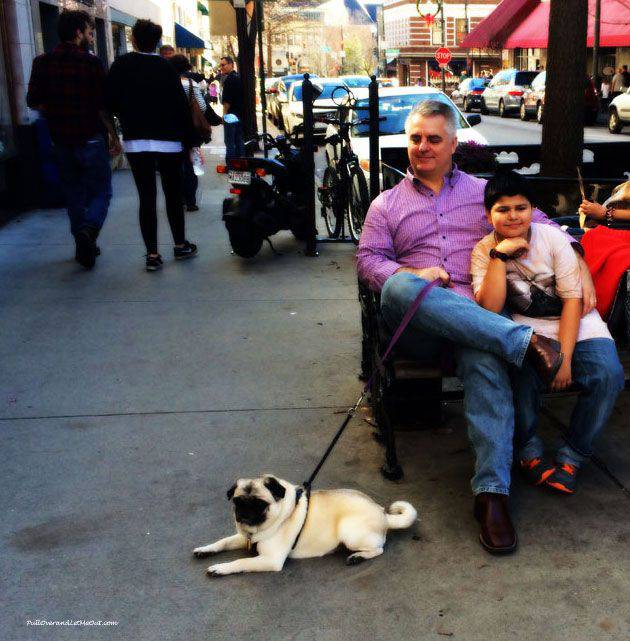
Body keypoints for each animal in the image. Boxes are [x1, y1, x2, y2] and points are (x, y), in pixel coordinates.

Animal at [193, 476, 420, 576]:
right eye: (237, 502)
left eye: (260, 504)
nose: (244, 512)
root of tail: (383, 514)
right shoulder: (244, 537)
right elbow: (222, 542)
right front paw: (205, 549)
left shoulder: (271, 560)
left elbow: (241, 561)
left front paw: (221, 568)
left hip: (350, 533)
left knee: (379, 549)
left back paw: (357, 557)